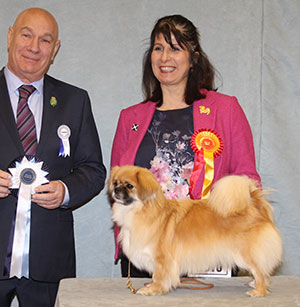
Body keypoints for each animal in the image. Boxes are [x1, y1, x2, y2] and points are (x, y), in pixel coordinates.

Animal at [109, 166, 282, 298]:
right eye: (115, 183)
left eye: (129, 186)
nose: (116, 190)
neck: (141, 210)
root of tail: (255, 202)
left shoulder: (161, 259)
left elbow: (158, 276)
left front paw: (152, 290)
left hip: (246, 253)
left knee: (260, 271)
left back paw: (259, 291)